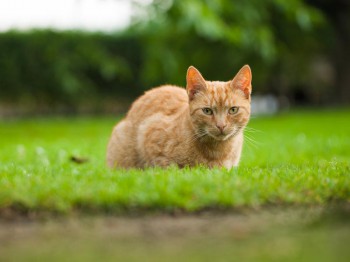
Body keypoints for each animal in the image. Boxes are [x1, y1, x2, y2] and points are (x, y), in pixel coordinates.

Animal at [106, 64, 252, 169]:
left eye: (233, 110)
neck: (218, 151)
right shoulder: (148, 132)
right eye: (207, 111)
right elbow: (167, 166)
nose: (221, 125)